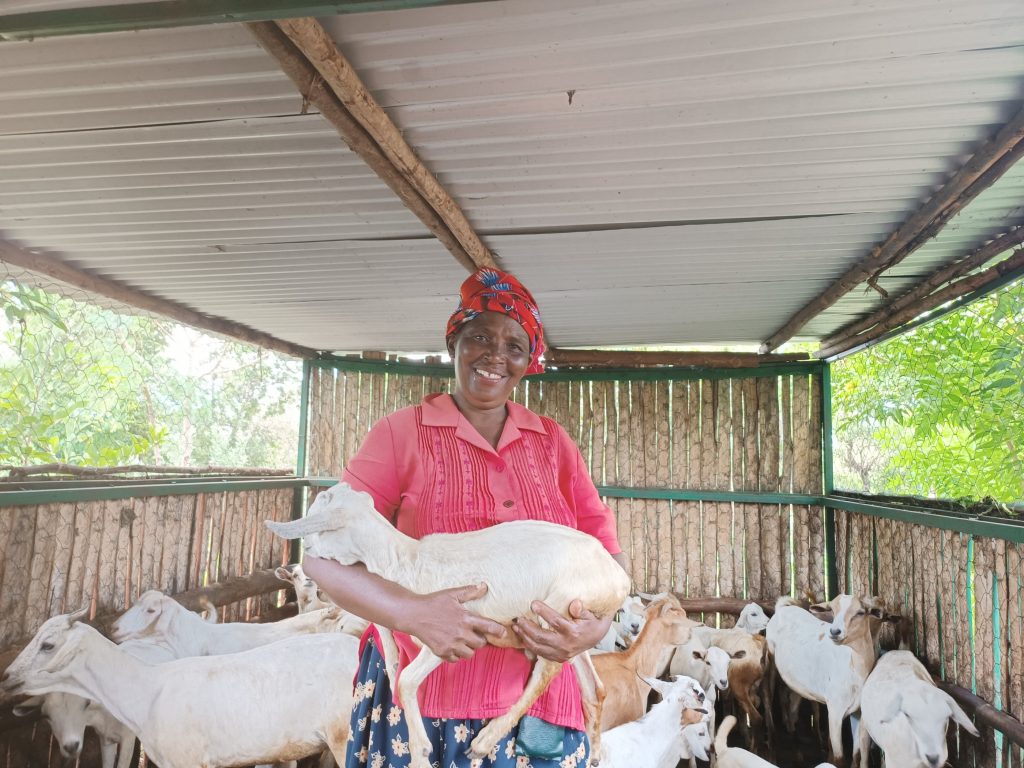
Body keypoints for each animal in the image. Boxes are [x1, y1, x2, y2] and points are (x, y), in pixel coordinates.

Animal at [0, 614, 360, 768]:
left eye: (47, 645)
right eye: (47, 716)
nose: (6, 676)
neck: (146, 689)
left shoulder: (187, 759)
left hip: (345, 738)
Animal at [770, 593, 880, 768]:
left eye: (860, 612)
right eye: (832, 610)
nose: (835, 631)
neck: (854, 669)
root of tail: (783, 608)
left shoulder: (860, 713)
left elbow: (859, 755)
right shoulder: (834, 711)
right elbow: (839, 759)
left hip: (797, 685)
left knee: (793, 714)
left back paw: (798, 755)